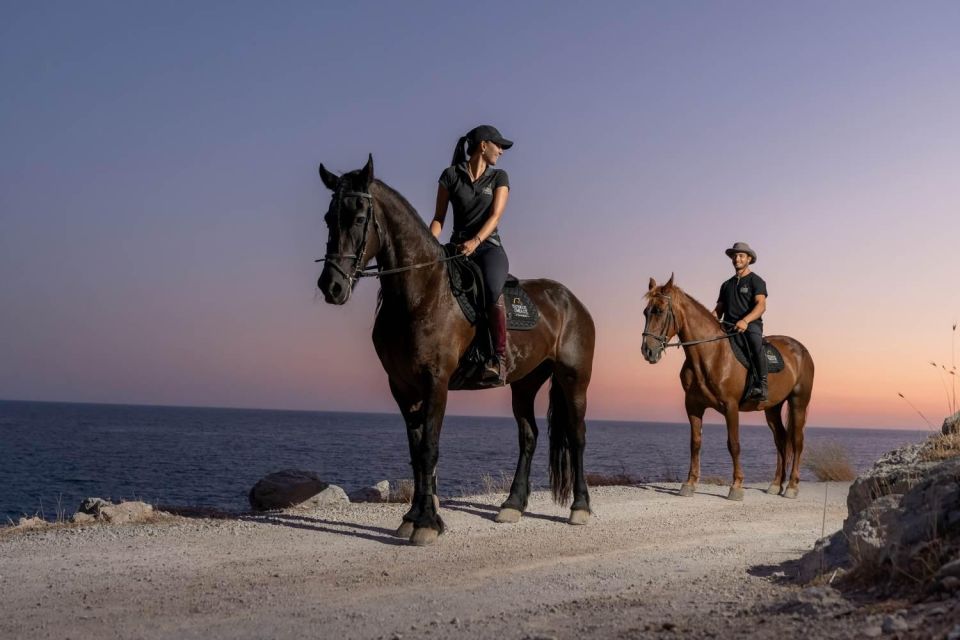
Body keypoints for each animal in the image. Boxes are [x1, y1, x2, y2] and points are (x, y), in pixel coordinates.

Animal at [318, 155, 596, 544]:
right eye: (328, 218)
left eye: (359, 218)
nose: (331, 286)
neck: (421, 292)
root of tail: (573, 301)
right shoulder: (402, 387)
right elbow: (416, 451)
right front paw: (413, 517)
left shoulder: (436, 381)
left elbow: (429, 448)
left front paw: (427, 523)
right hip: (525, 383)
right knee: (528, 437)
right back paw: (512, 505)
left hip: (574, 380)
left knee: (577, 436)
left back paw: (580, 508)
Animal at [640, 276, 812, 500]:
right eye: (645, 312)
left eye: (659, 310)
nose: (647, 351)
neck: (711, 354)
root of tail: (801, 350)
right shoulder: (693, 406)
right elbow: (695, 443)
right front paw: (689, 484)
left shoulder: (731, 407)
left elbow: (734, 444)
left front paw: (736, 486)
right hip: (772, 408)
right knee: (781, 440)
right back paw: (776, 484)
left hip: (798, 402)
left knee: (797, 441)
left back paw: (791, 486)